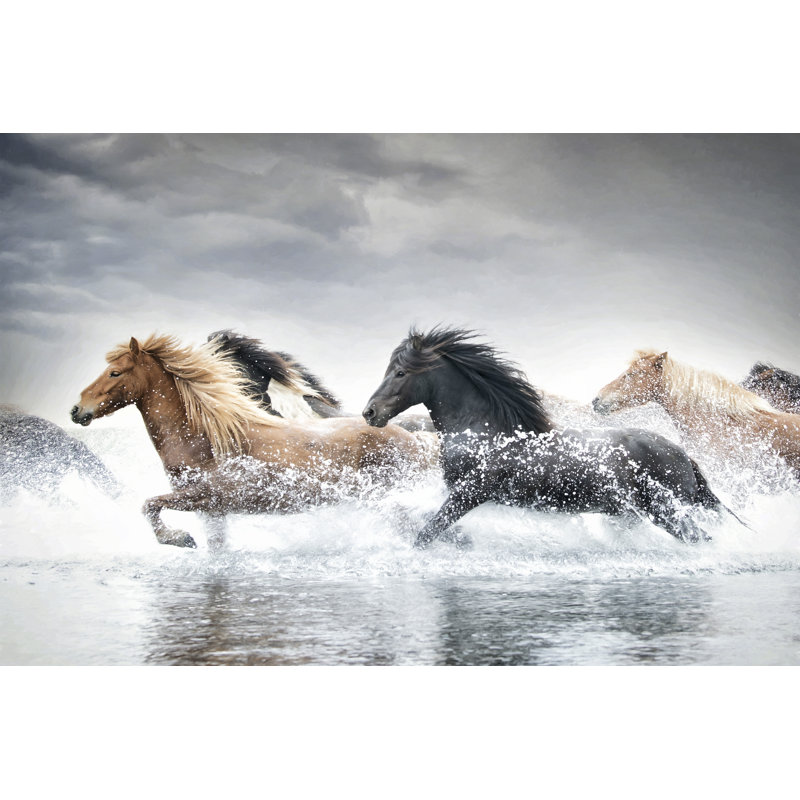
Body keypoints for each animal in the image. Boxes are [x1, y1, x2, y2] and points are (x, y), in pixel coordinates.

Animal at [362, 327, 728, 548]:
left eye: (400, 372)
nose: (369, 412)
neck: (486, 432)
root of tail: (684, 455)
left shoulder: (471, 492)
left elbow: (427, 532)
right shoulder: (452, 490)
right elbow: (410, 515)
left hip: (664, 510)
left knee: (699, 538)